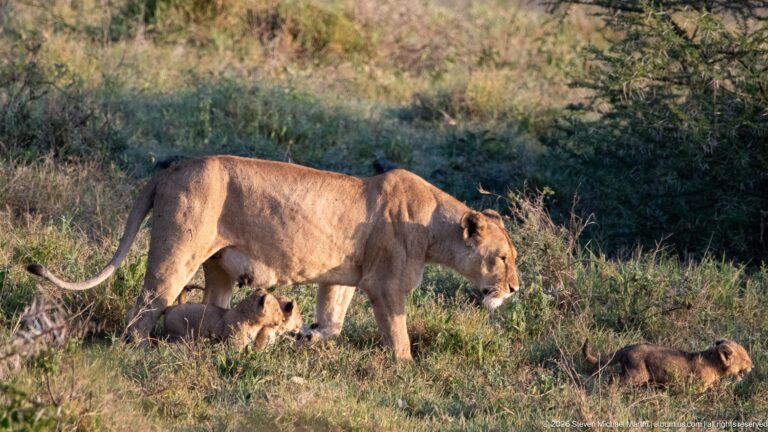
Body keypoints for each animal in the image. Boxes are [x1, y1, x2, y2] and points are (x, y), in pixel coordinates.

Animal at [26, 156, 520, 361]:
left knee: (212, 310)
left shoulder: (342, 277)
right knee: (143, 308)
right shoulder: (386, 286)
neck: (433, 226)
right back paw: (142, 352)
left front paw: (309, 337)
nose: (515, 289)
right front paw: (406, 369)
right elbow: (398, 335)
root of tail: (168, 170)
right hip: (177, 253)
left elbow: (333, 319)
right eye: (501, 258)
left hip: (218, 266)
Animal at [582, 338, 753, 389]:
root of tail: (629, 347)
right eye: (746, 359)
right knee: (615, 379)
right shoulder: (697, 385)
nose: (753, 367)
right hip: (636, 374)